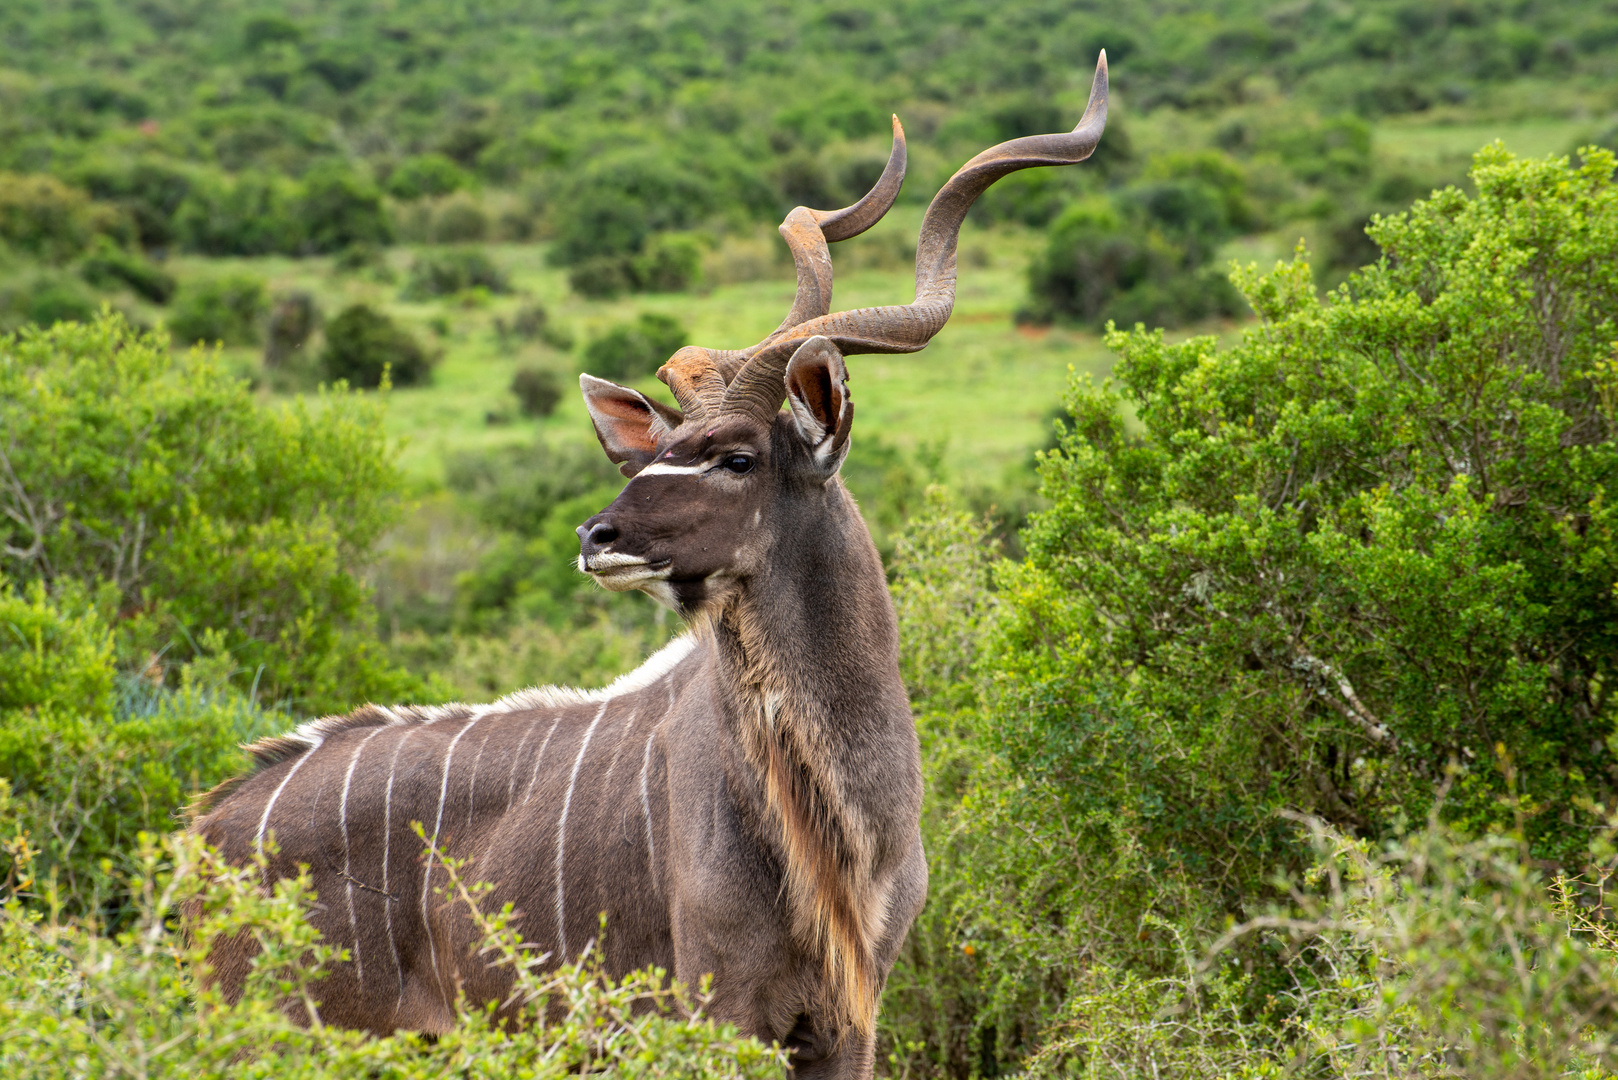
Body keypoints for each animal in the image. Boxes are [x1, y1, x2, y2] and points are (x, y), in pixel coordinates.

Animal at [189, 52, 1106, 1080]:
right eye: (657, 454)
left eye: (736, 458)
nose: (598, 537)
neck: (838, 838)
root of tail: (205, 833)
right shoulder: (720, 1009)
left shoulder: (847, 1021)